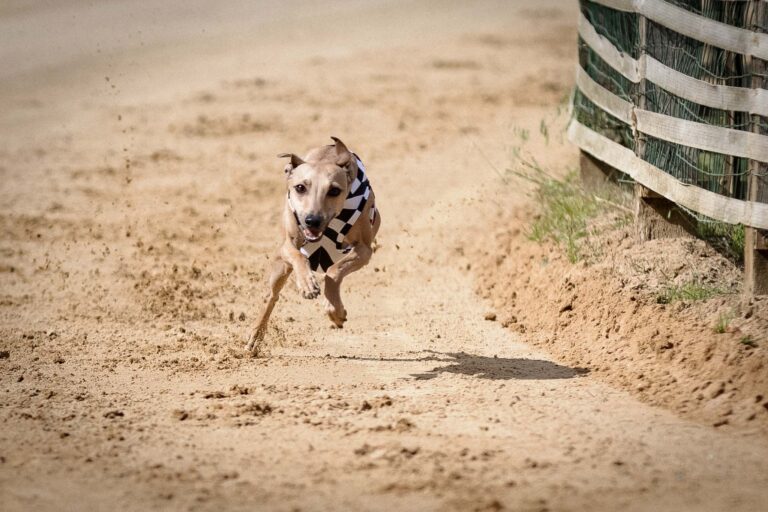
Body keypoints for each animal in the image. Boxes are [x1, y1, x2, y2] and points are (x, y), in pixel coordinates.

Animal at [248, 136, 380, 352]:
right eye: (300, 187)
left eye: (334, 190)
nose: (312, 220)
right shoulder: (288, 243)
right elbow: (297, 255)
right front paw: (307, 285)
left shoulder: (364, 249)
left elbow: (333, 271)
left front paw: (335, 310)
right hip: (280, 268)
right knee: (271, 296)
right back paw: (255, 336)